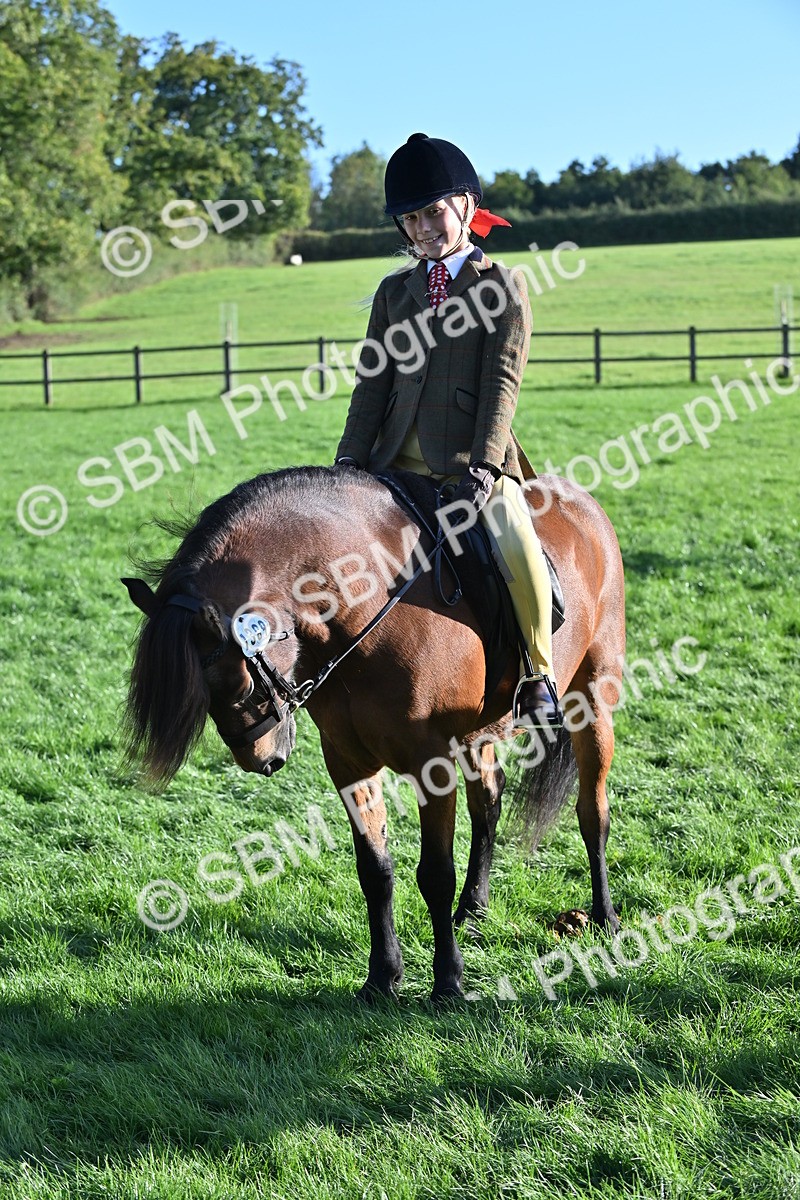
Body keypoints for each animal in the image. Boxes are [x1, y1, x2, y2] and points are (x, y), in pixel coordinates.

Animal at [123, 465, 626, 1002]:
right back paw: (473, 910)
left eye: (238, 686)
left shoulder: (432, 763)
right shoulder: (348, 761)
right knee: (489, 802)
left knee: (592, 812)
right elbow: (375, 870)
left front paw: (448, 982)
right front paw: (383, 977)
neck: (364, 606)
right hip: (480, 734)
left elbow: (435, 873)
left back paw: (605, 918)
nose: (262, 760)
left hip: (593, 699)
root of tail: (579, 498)